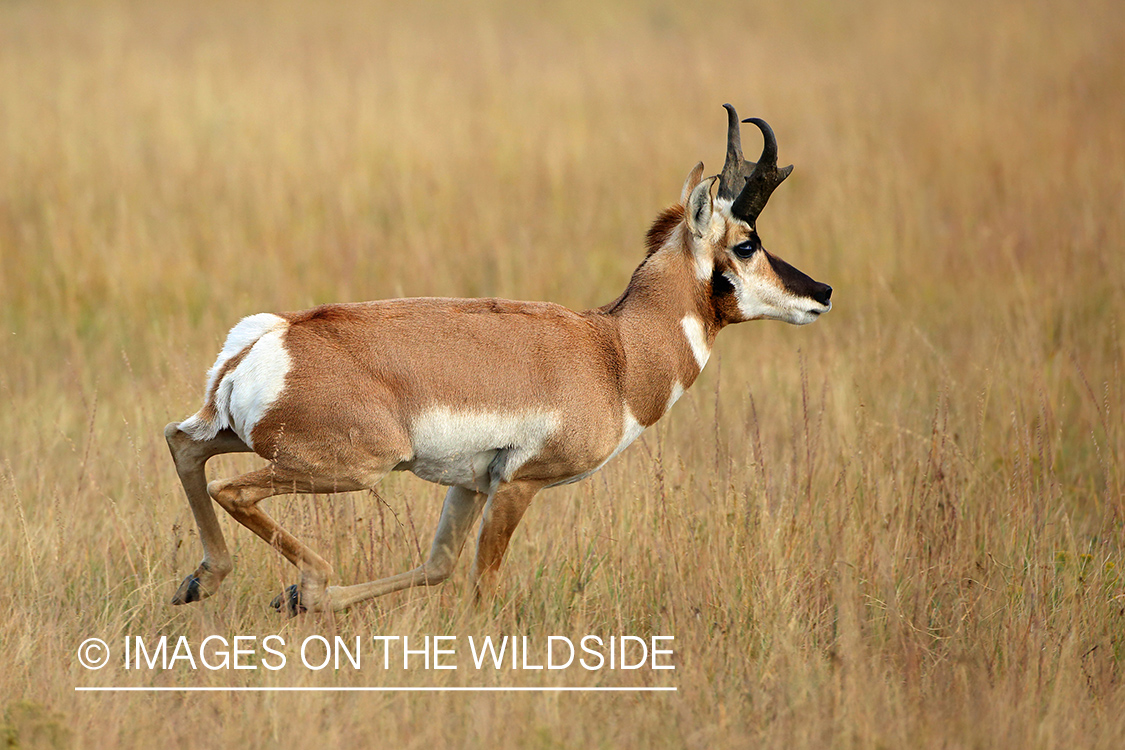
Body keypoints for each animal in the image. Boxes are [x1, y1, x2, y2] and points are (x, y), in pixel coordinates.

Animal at [166, 105, 837, 611]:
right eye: (746, 244)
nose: (823, 292)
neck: (613, 351)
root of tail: (272, 337)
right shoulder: (518, 485)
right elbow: (482, 587)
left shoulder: (469, 485)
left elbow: (437, 565)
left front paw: (297, 601)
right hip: (353, 468)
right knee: (230, 488)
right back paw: (298, 583)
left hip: (248, 438)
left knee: (184, 445)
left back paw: (206, 582)